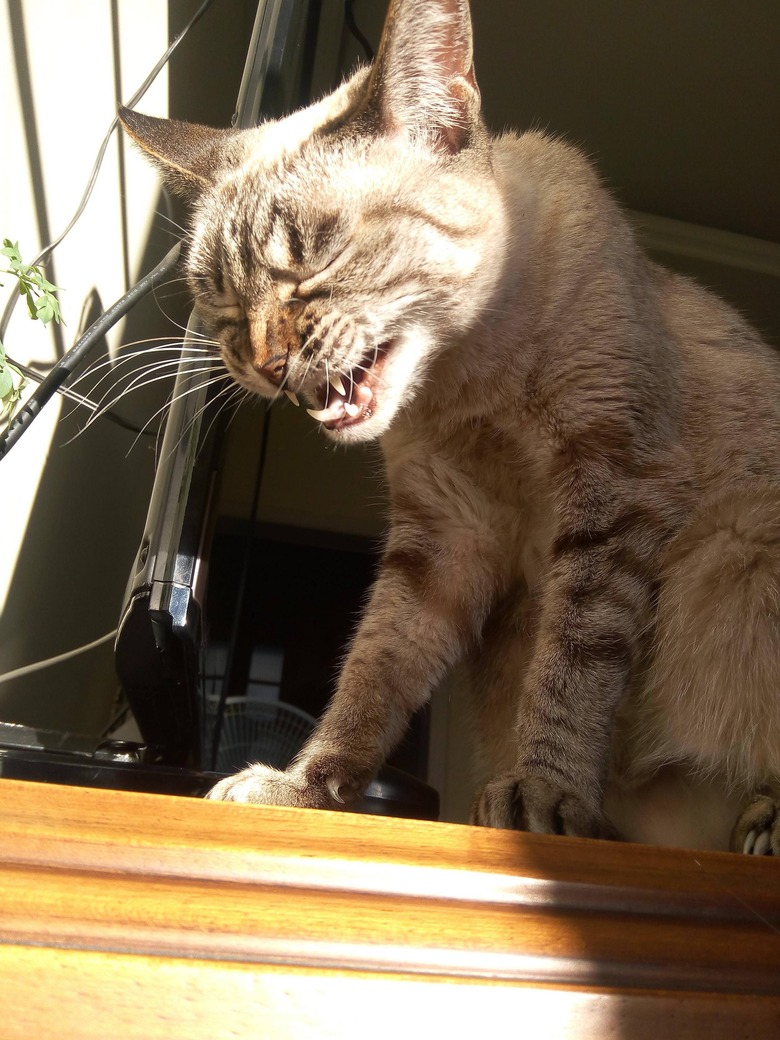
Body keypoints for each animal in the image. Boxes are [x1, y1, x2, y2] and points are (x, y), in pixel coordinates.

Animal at [119, 0, 780, 852]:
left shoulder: (612, 489)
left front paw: (543, 796)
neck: (468, 383)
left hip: (743, 552)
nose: (263, 362)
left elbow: (573, 667)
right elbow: (372, 674)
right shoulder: (442, 541)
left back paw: (758, 824)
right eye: (223, 306)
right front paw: (303, 791)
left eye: (313, 258)